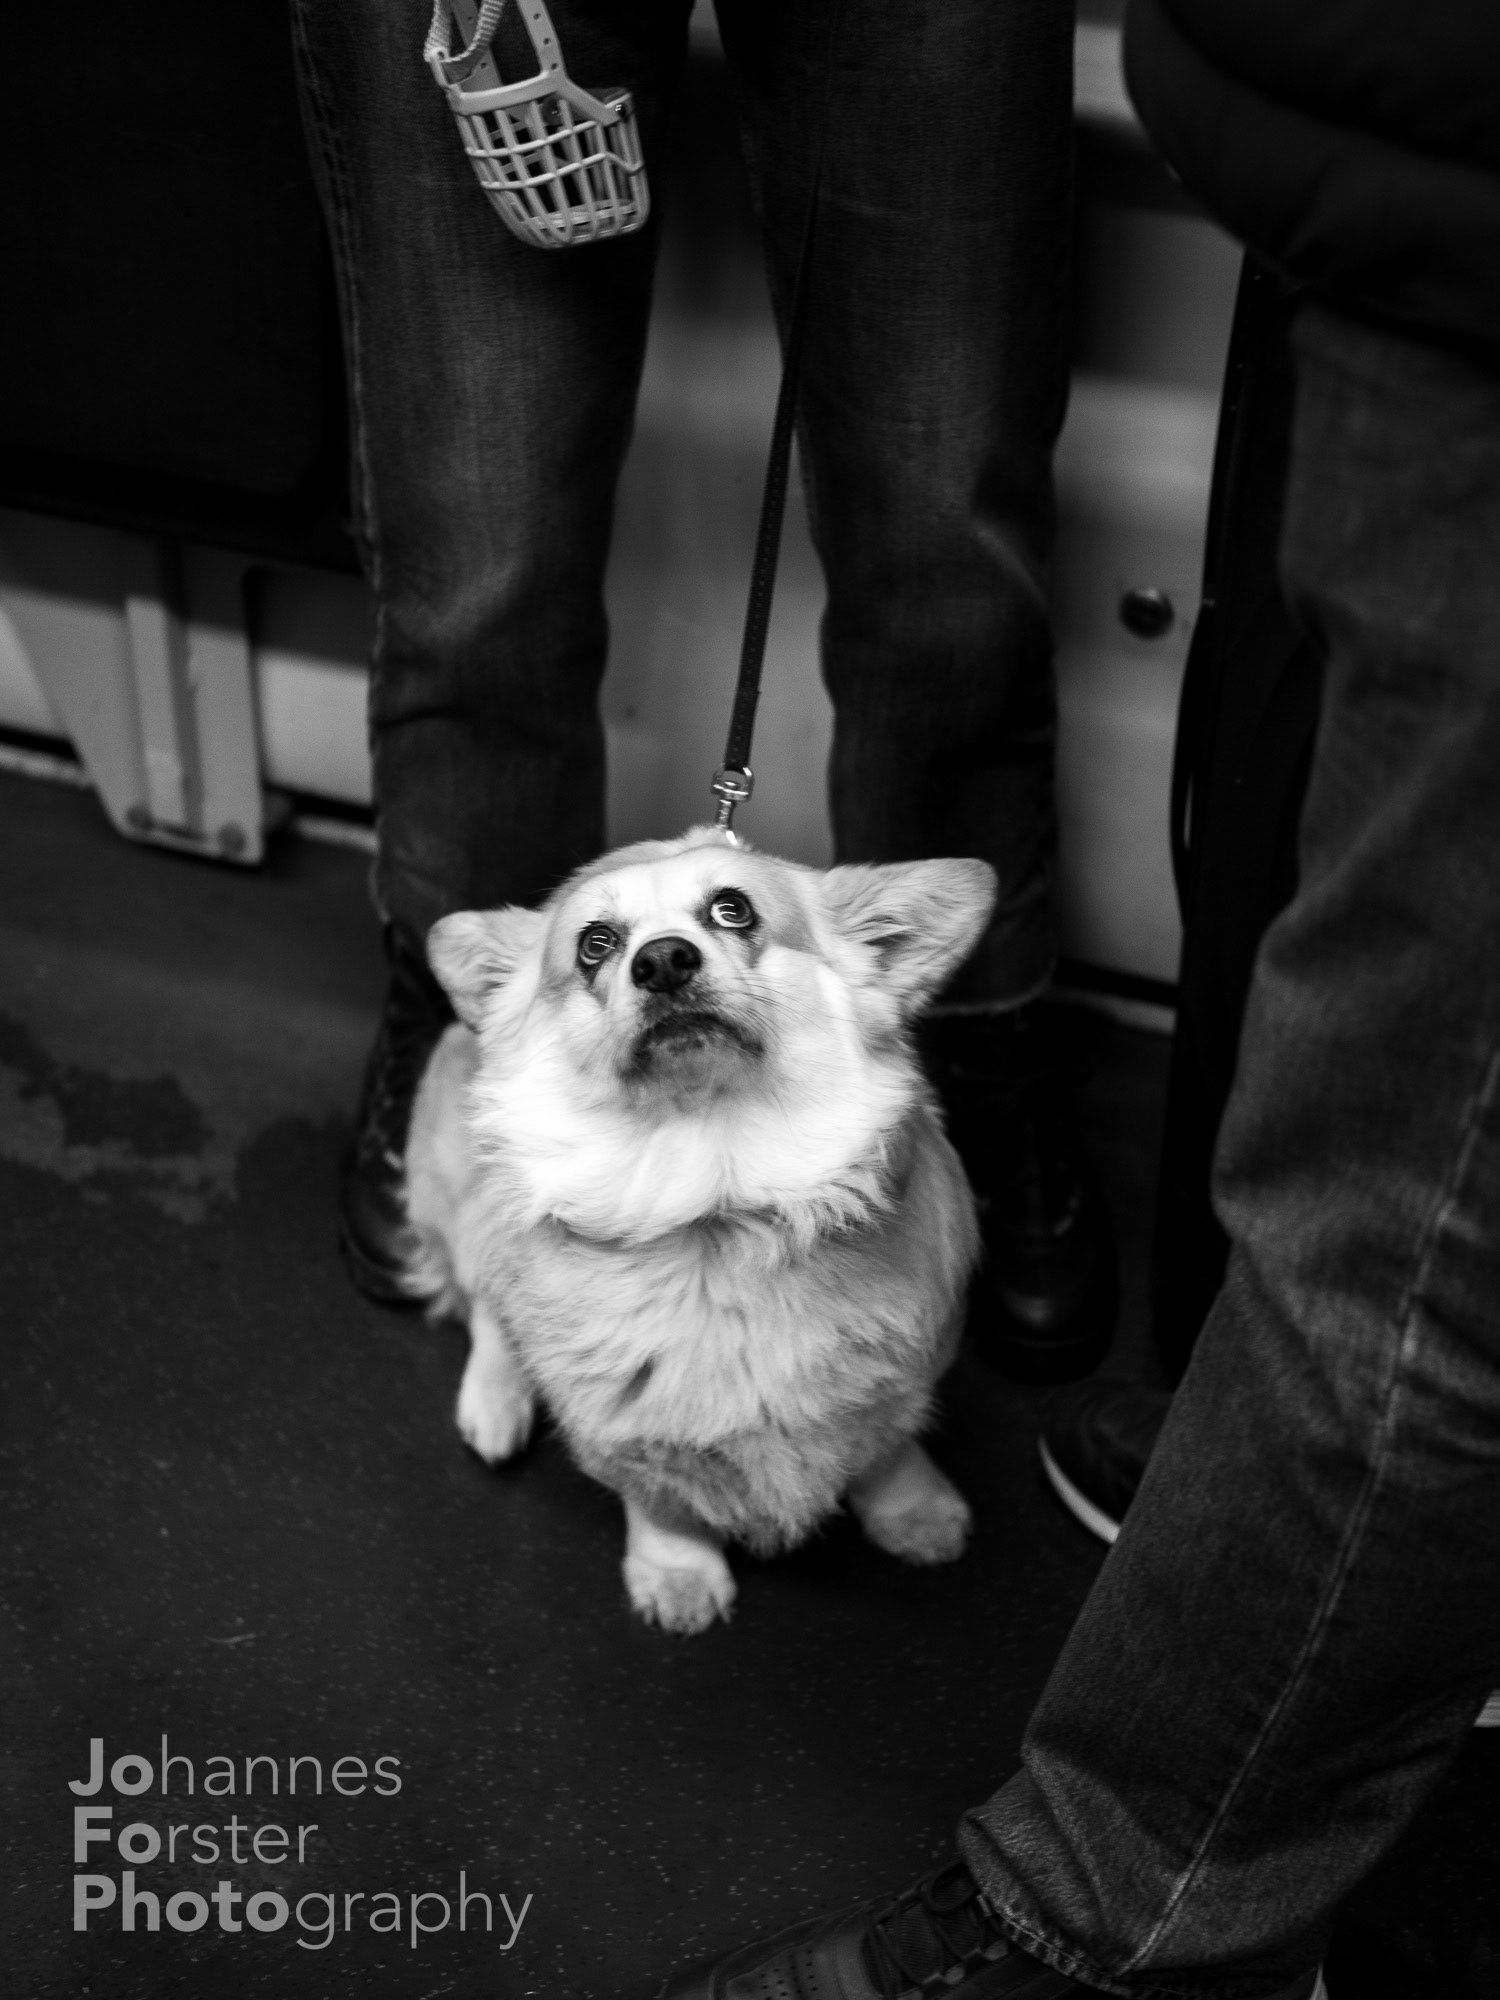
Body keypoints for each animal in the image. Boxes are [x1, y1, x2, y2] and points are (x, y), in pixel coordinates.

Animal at [402, 827, 996, 1634]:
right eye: (595, 944)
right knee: (489, 1309)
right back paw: (495, 1404)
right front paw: (679, 1578)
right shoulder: (625, 1430)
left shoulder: (907, 1369)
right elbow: (665, 1502)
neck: (714, 1193)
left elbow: (889, 1442)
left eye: (732, 908)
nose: (661, 960)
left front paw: (916, 1511)